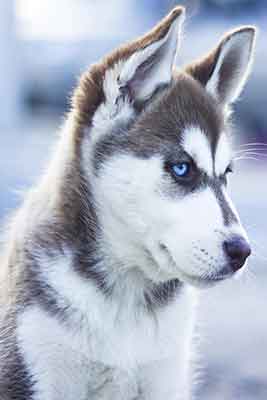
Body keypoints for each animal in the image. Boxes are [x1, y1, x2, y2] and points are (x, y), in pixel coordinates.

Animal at [0, 6, 256, 400]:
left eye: (227, 173)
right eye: (182, 168)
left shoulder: (165, 376)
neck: (124, 302)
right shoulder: (32, 368)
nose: (242, 251)